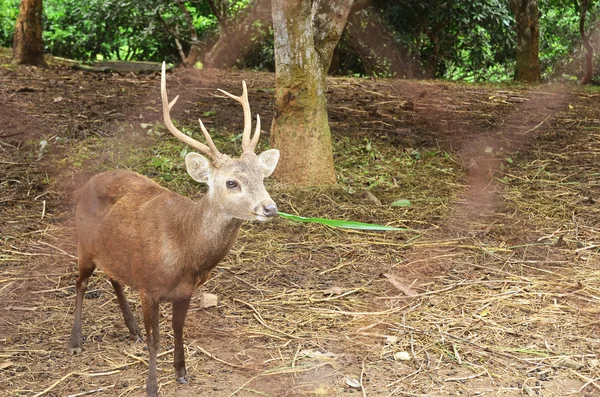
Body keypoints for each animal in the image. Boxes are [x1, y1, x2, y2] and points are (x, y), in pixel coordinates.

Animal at [69, 62, 280, 396]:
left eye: (262, 177)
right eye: (231, 182)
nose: (269, 208)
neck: (185, 253)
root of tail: (87, 183)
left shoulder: (185, 291)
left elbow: (178, 329)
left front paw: (182, 372)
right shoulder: (148, 286)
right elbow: (156, 341)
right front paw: (151, 386)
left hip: (112, 250)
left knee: (113, 277)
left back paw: (132, 329)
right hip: (83, 244)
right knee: (80, 283)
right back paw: (76, 341)